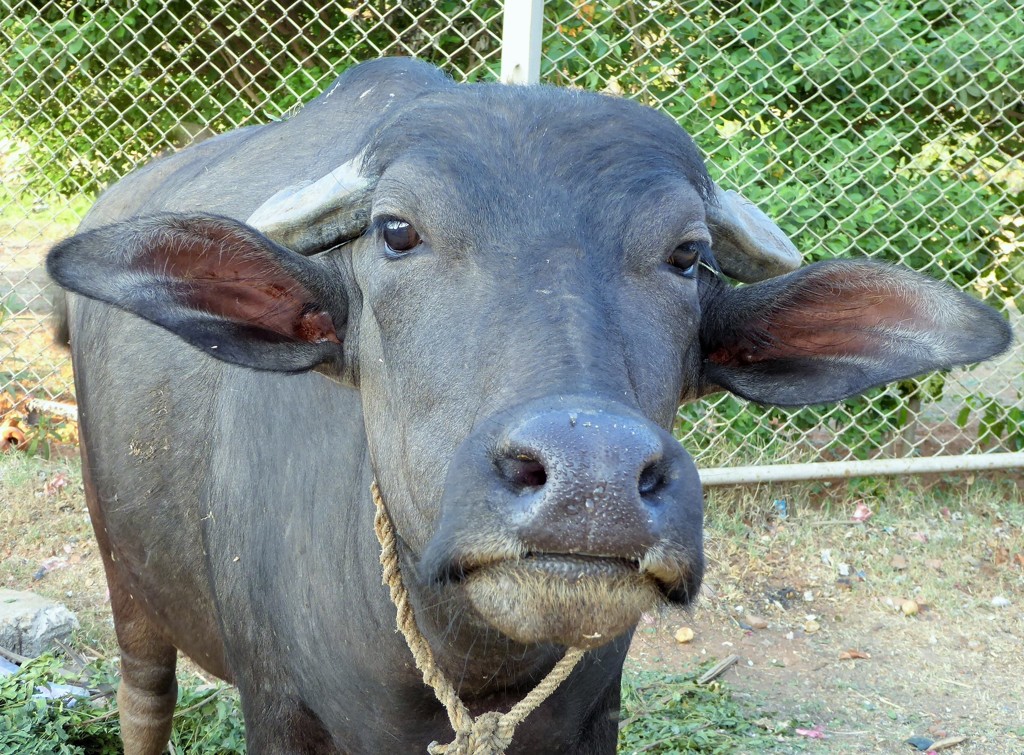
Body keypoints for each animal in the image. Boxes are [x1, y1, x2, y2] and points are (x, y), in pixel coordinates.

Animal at [46, 55, 1007, 749]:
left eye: (688, 254)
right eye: (397, 231)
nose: (593, 480)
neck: (467, 674)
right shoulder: (278, 711)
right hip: (127, 581)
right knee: (145, 697)